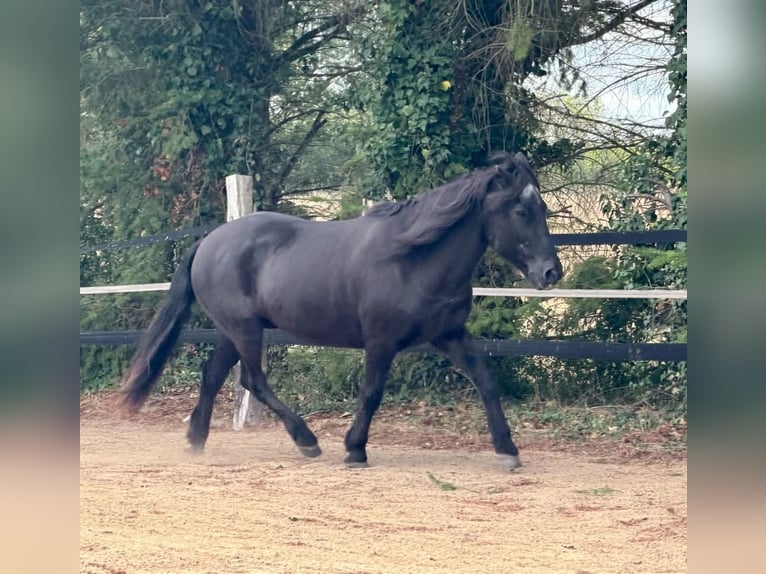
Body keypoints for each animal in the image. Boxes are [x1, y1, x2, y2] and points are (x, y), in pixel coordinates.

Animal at [119, 151, 563, 471]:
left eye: (542, 207)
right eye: (520, 210)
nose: (551, 272)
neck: (414, 260)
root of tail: (210, 240)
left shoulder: (450, 335)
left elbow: (486, 383)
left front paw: (508, 450)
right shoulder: (380, 342)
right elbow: (371, 393)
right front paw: (354, 449)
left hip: (235, 330)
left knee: (213, 374)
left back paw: (196, 440)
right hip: (245, 329)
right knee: (252, 379)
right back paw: (307, 441)